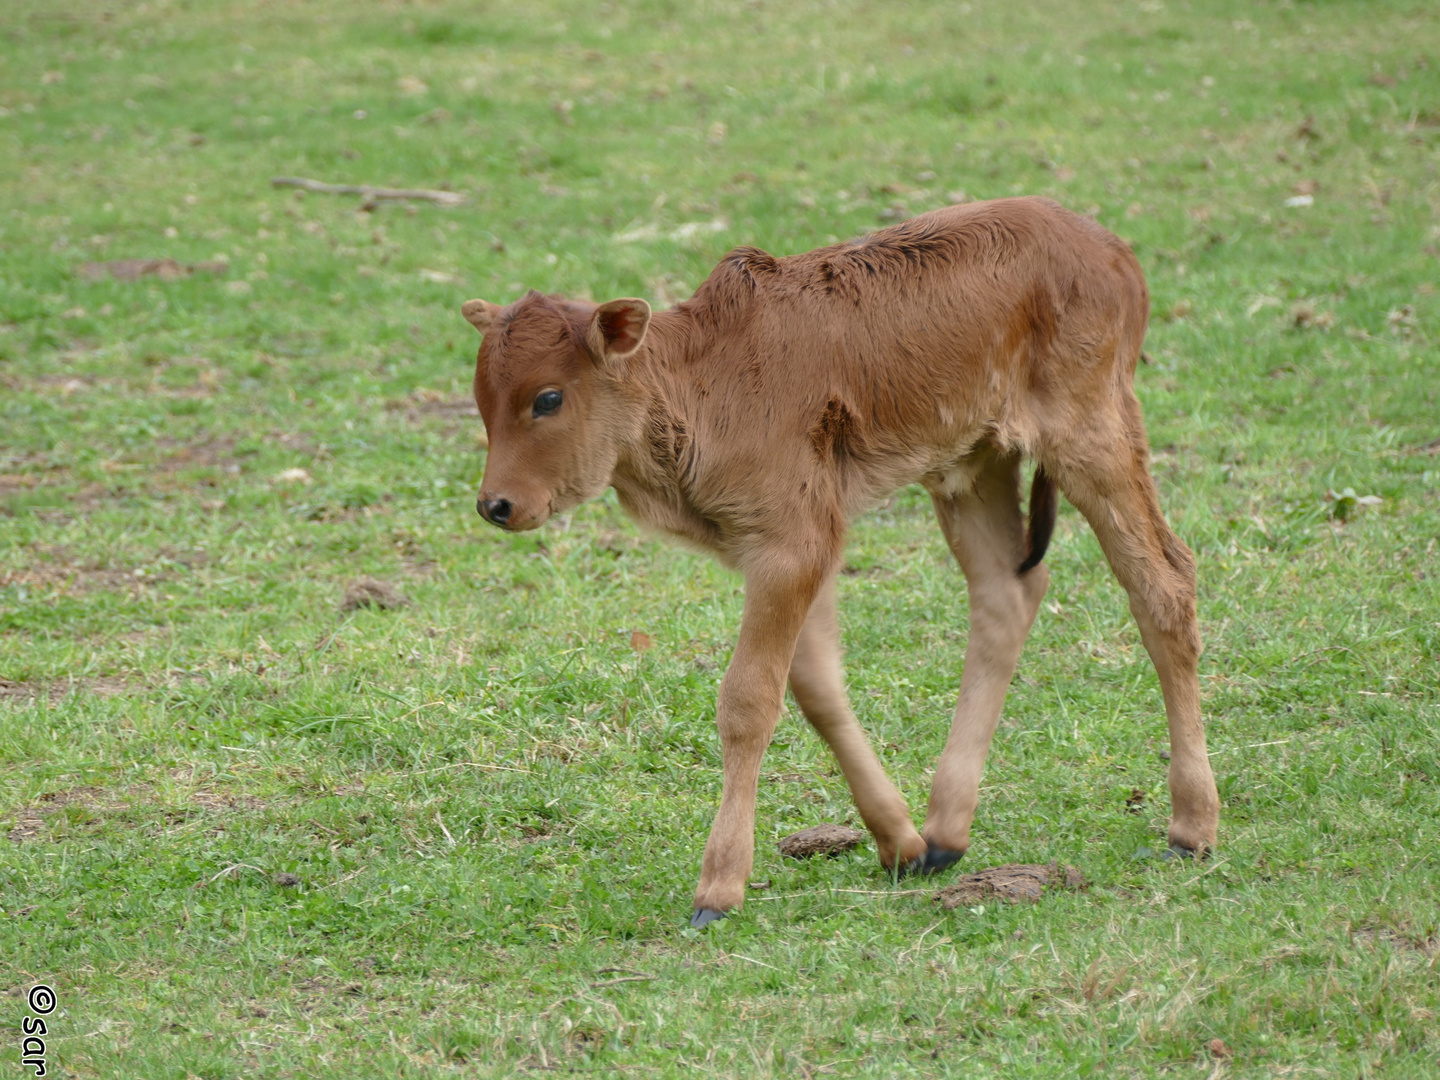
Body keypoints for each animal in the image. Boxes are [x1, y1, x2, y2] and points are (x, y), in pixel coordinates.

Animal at [457, 198, 1215, 927]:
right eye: (482, 399)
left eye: (548, 398)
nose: (496, 504)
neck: (700, 385)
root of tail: (1110, 249)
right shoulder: (791, 549)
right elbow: (816, 688)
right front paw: (900, 842)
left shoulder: (790, 546)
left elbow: (749, 700)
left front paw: (718, 887)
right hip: (970, 466)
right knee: (1008, 592)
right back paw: (946, 831)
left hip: (1092, 433)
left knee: (1164, 581)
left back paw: (1191, 827)